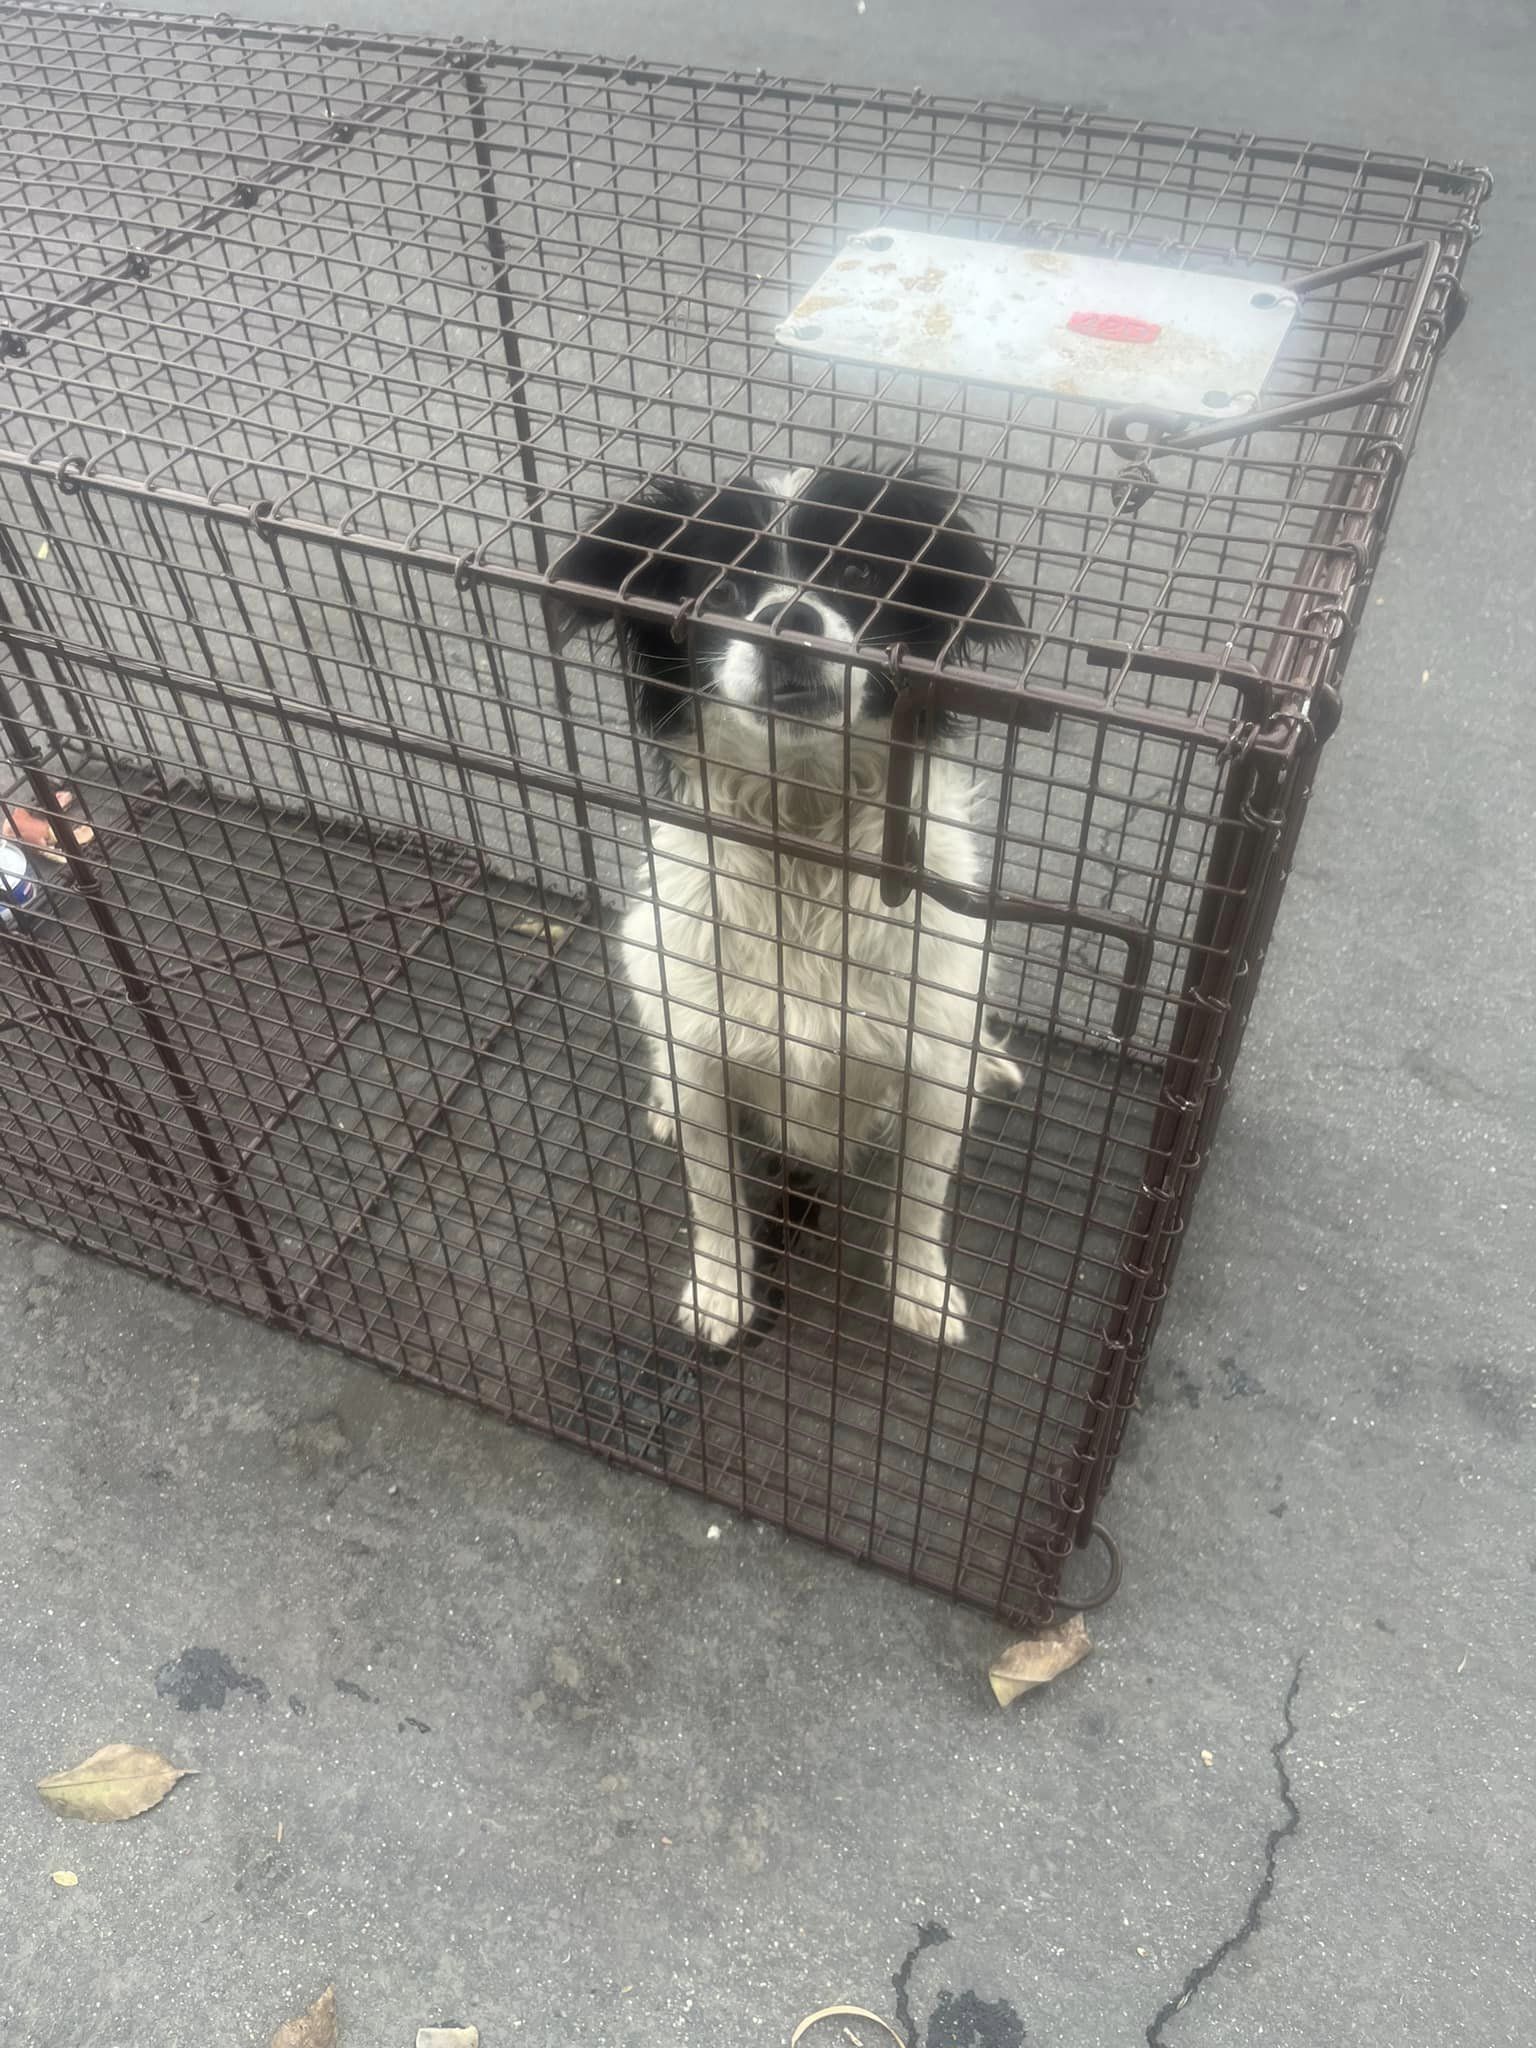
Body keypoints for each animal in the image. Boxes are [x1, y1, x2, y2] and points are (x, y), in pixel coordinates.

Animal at [561, 458, 1028, 1351]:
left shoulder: (929, 1068)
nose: (789, 617)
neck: (807, 830)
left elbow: (921, 1198)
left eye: (861, 575)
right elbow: (715, 1199)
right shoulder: (708, 1057)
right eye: (722, 587)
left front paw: (920, 1290)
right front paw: (721, 1292)